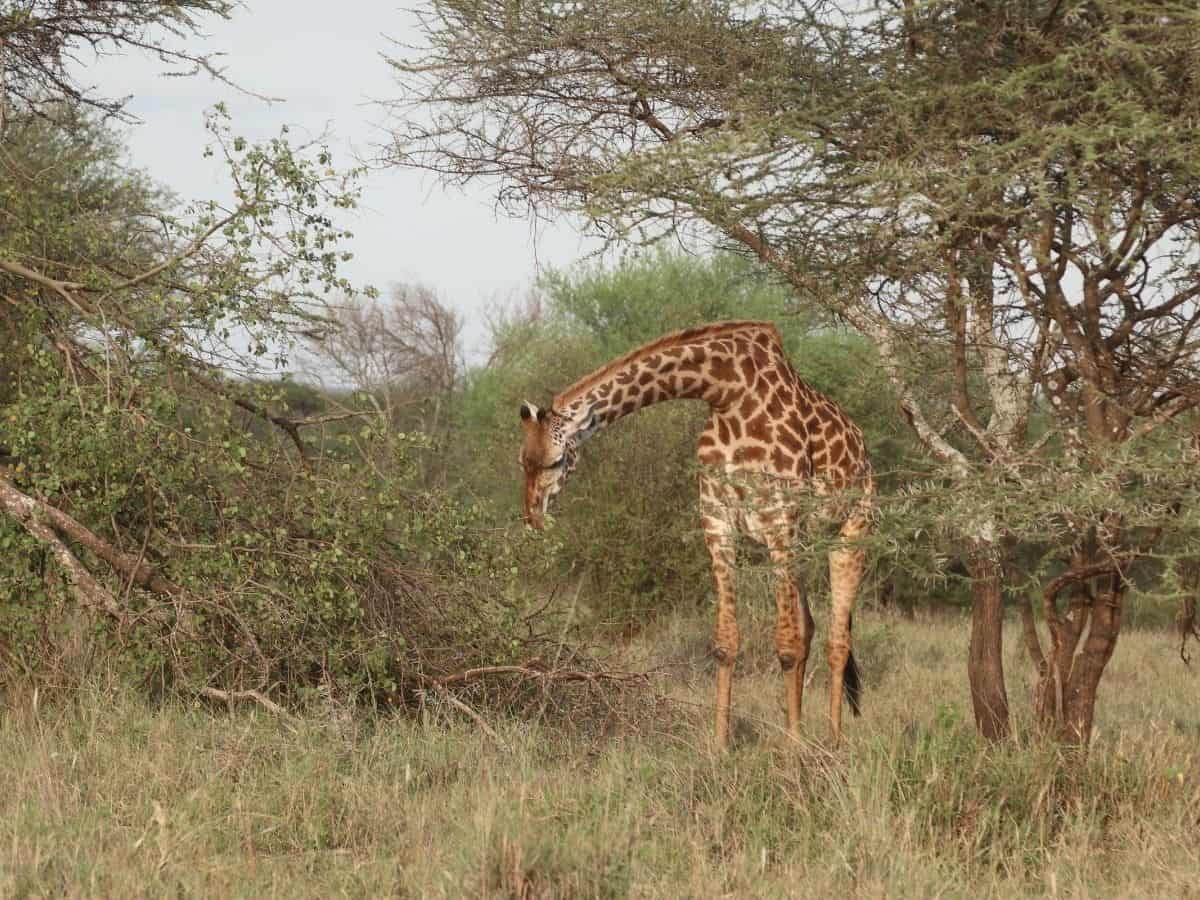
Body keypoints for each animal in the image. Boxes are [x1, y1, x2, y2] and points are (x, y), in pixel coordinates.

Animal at [519, 321, 874, 748]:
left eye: (555, 461)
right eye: (521, 461)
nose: (533, 518)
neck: (727, 392)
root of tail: (865, 451)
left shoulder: (779, 518)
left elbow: (786, 644)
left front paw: (792, 750)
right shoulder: (717, 519)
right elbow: (726, 642)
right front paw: (720, 747)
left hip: (850, 530)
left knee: (838, 640)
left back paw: (833, 744)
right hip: (803, 545)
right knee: (811, 628)